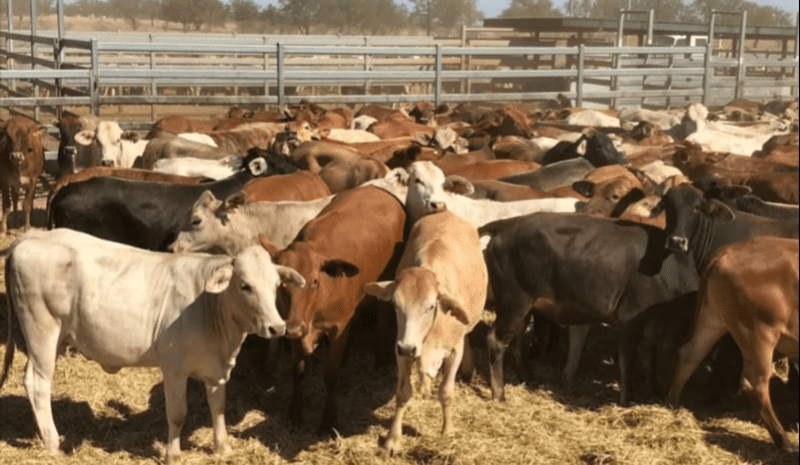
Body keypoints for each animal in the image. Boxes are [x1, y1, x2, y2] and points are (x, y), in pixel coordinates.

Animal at [0, 228, 304, 463]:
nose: (277, 327)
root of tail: (31, 236)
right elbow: (178, 414)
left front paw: (223, 447)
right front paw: (173, 455)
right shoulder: (174, 368)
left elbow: (218, 407)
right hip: (41, 329)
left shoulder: (215, 369)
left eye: (276, 285)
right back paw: (53, 443)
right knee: (38, 383)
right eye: (245, 286)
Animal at [267, 185, 407, 431]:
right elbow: (298, 370)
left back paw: (380, 359)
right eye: (281, 282)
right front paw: (295, 412)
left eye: (314, 281)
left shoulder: (338, 327)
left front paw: (328, 420)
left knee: (383, 317)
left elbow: (330, 374)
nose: (294, 328)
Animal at [364, 211, 487, 455]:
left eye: (431, 306)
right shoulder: (401, 349)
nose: (408, 347)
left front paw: (447, 431)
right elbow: (403, 393)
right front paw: (393, 439)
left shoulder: (453, 351)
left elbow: (446, 393)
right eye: (395, 304)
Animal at [479, 212, 699, 405]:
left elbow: (649, 359)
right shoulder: (630, 319)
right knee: (496, 341)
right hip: (514, 302)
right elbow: (627, 362)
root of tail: (507, 223)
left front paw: (655, 393)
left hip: (523, 308)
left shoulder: (652, 325)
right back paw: (499, 394)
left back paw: (527, 376)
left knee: (515, 341)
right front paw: (626, 400)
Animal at [666, 236, 798, 452]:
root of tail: (729, 251)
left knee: (689, 355)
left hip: (712, 319)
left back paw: (672, 405)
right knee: (755, 384)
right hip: (758, 331)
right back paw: (784, 440)